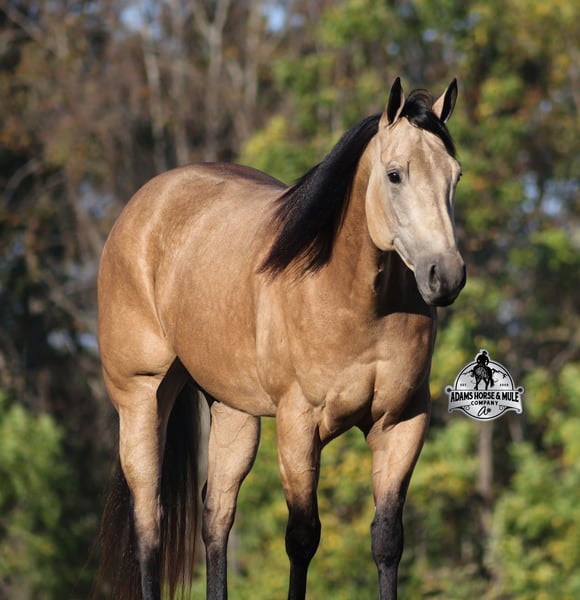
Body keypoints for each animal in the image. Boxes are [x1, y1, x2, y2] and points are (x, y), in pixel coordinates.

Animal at [94, 77, 465, 600]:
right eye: (395, 175)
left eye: (455, 175)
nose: (445, 275)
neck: (351, 297)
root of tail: (144, 205)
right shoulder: (298, 424)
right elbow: (302, 537)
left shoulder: (401, 422)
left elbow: (388, 540)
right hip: (141, 396)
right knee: (149, 521)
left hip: (233, 412)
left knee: (217, 517)